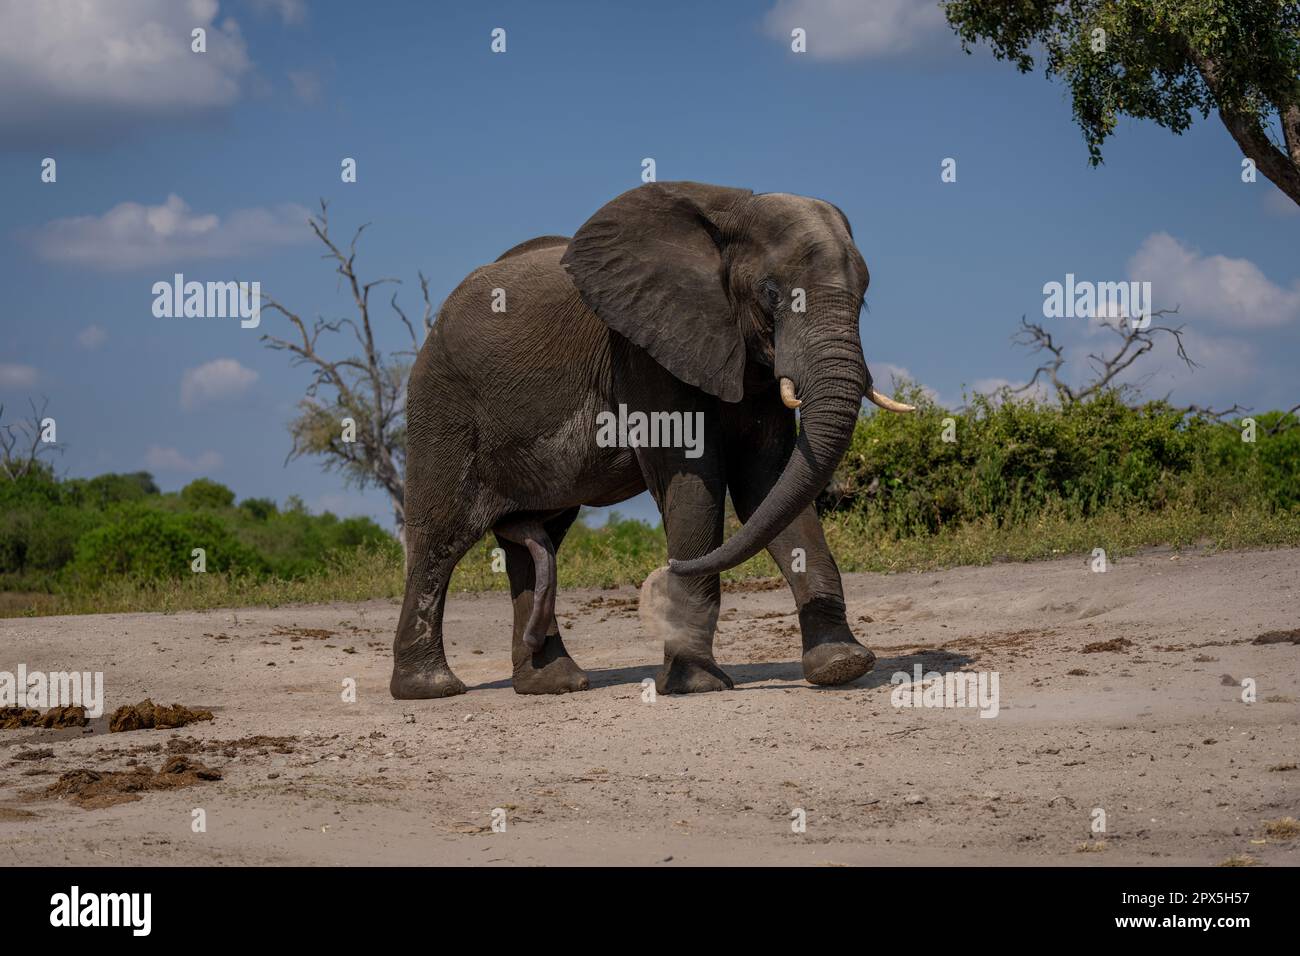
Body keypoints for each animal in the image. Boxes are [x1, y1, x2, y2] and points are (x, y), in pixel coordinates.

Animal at [390, 181, 914, 700]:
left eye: (864, 294)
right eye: (771, 292)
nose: (658, 577)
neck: (732, 212)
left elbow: (770, 486)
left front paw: (842, 665)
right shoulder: (643, 352)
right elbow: (695, 484)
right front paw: (697, 685)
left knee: (538, 540)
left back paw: (554, 683)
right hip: (443, 405)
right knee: (440, 538)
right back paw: (430, 688)